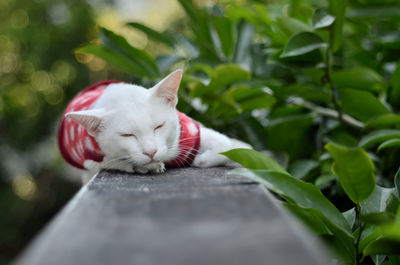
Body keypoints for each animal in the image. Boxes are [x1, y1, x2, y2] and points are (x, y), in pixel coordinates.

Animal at [57, 69, 250, 182]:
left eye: (159, 126)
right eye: (127, 135)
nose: (151, 152)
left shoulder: (189, 130)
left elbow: (224, 144)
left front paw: (201, 160)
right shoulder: (92, 159)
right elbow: (118, 162)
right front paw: (149, 166)